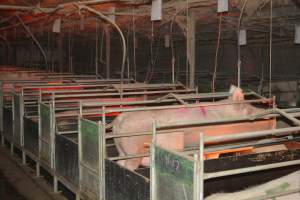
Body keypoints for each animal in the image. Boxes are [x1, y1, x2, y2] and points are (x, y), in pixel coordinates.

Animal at [111, 85, 276, 170]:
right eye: (250, 110)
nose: (271, 117)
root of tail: (119, 120)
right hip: (133, 149)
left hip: (121, 149)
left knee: (119, 163)